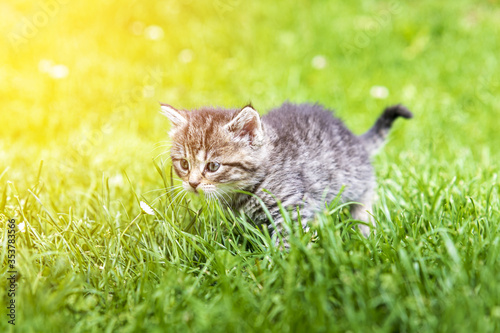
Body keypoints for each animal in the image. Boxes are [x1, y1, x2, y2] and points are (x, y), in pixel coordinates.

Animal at [159, 101, 410, 241]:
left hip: (356, 181)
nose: (192, 183)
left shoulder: (291, 208)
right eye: (184, 164)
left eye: (213, 166)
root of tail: (354, 138)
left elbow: (287, 241)